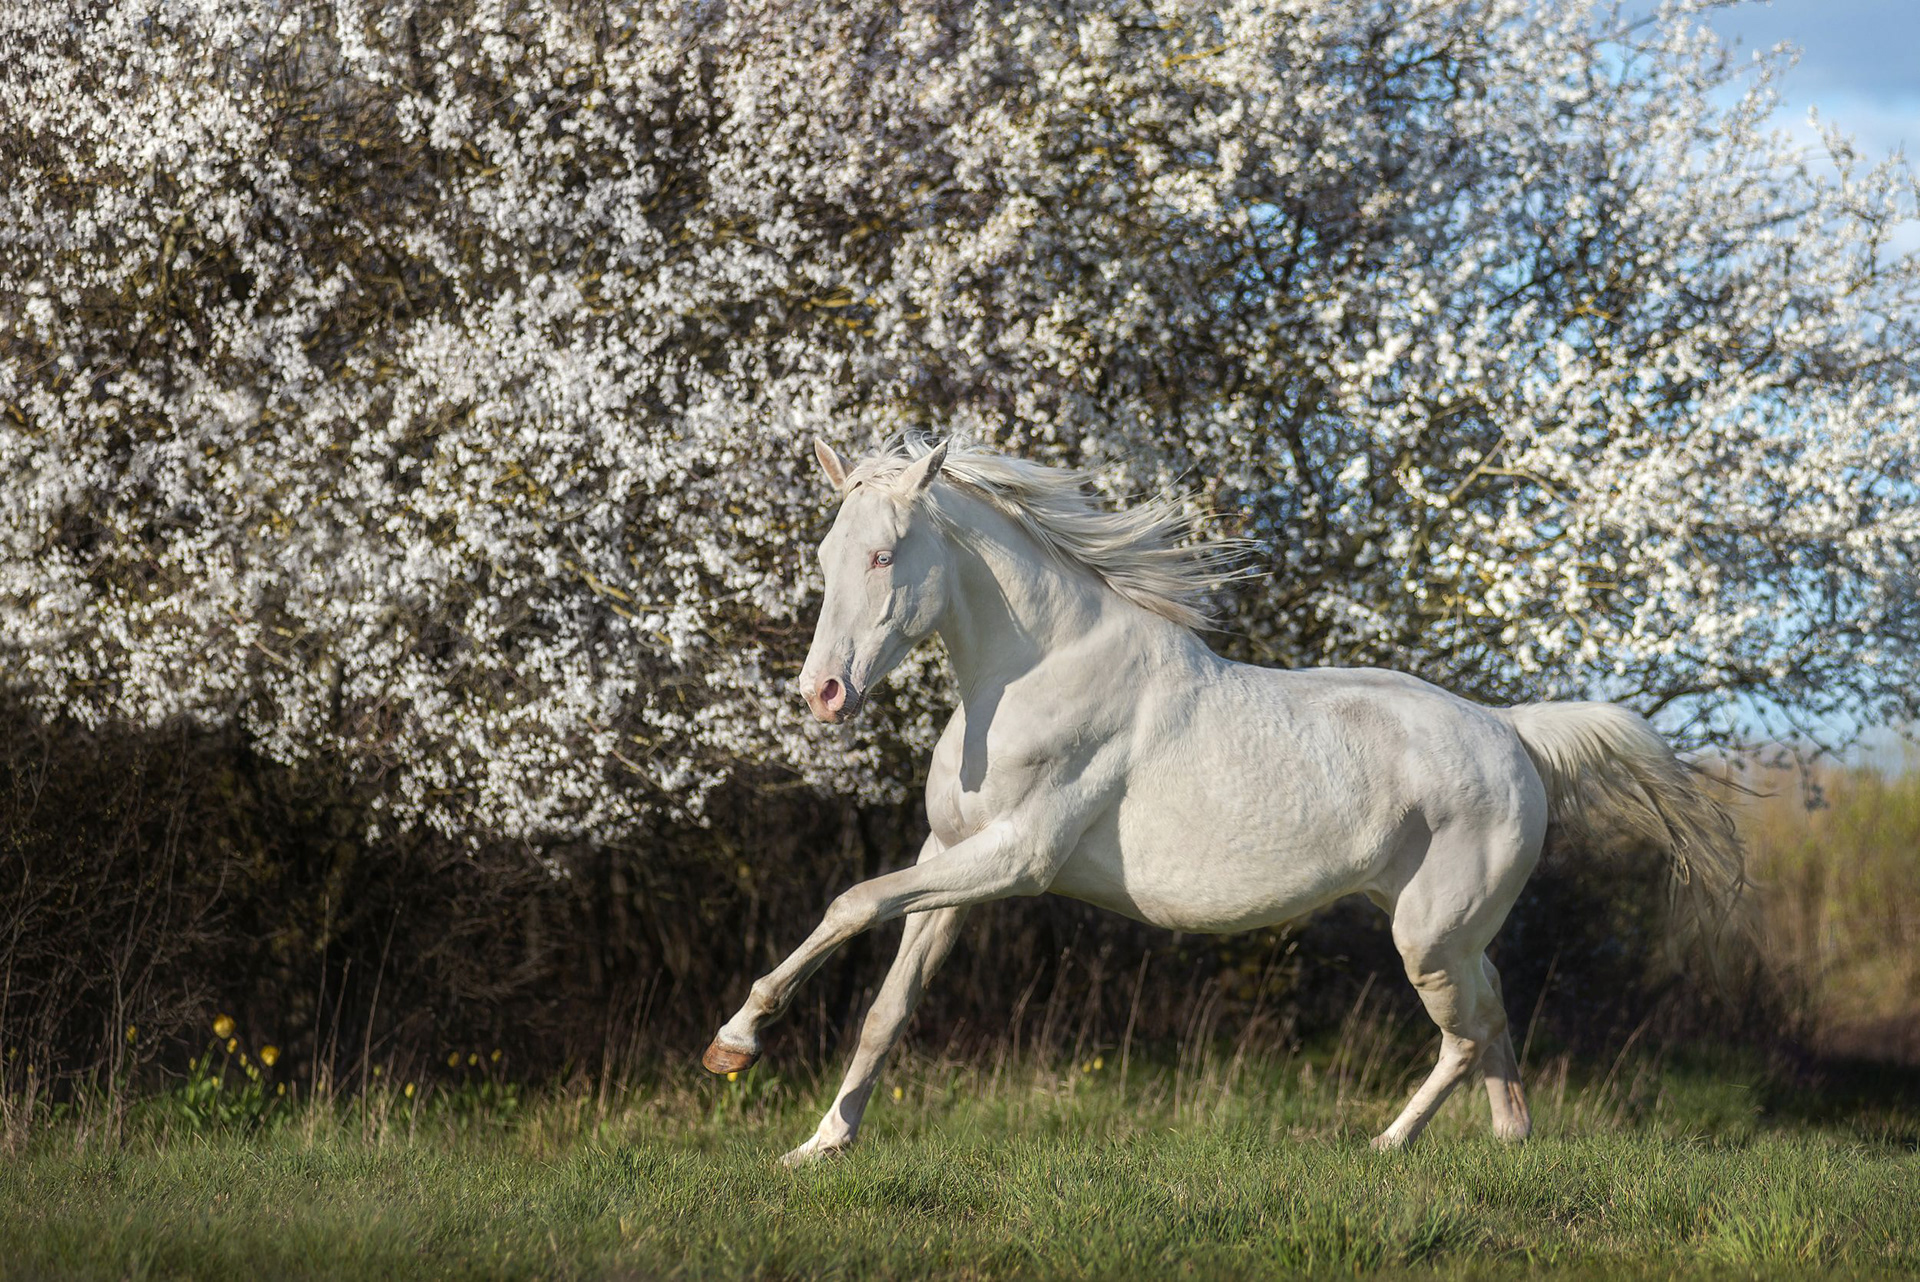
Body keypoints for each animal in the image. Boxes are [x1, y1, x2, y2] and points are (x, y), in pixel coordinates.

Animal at [703, 436, 1744, 1164]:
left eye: (885, 556)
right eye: (826, 553)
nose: (822, 694)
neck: (1031, 675)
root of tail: (1513, 732)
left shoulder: (1014, 859)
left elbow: (851, 902)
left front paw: (735, 1043)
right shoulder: (946, 859)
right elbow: (888, 1004)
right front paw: (817, 1145)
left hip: (1428, 934)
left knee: (1469, 1029)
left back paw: (1386, 1147)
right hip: (1440, 927)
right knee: (1489, 1021)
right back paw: (1506, 1142)